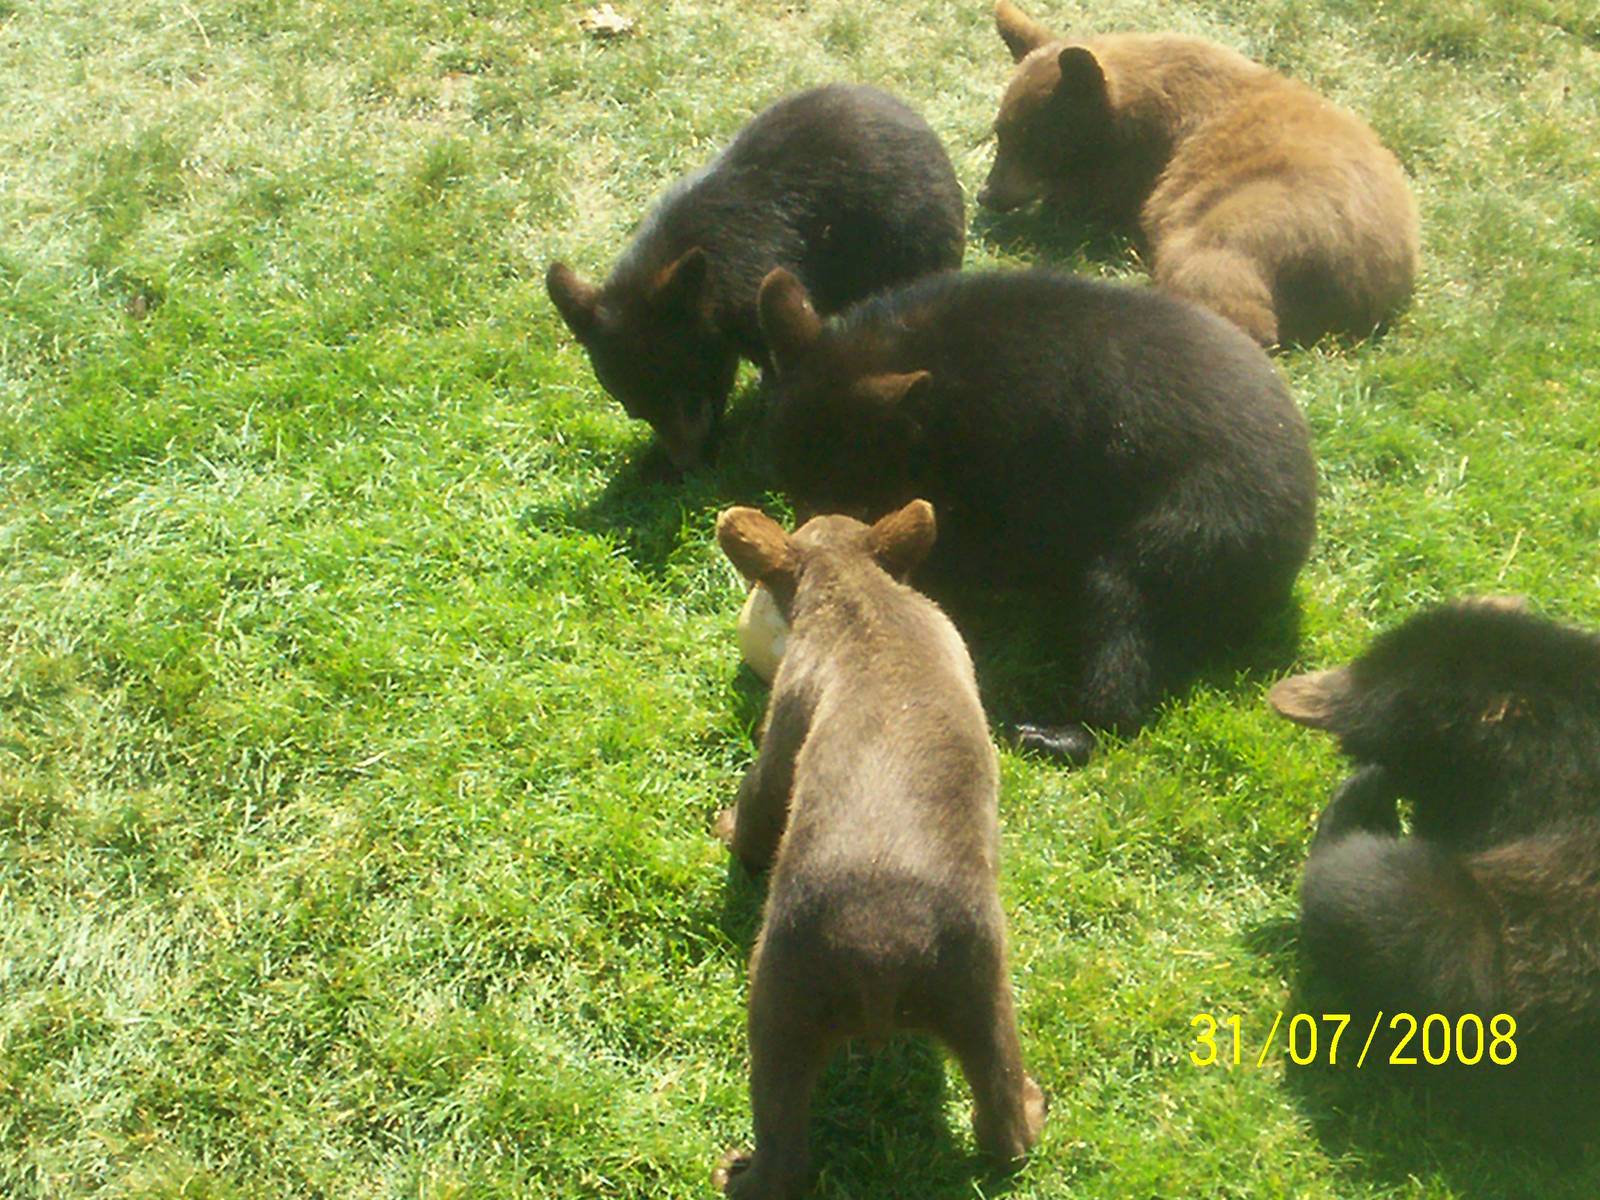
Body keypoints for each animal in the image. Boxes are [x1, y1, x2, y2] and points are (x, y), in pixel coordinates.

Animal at [712, 500, 1045, 1199]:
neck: (859, 589)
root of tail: (883, 949)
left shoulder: (787, 712)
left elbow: (761, 795)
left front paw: (730, 830)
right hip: (979, 993)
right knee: (1002, 1120)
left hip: (779, 995)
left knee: (785, 1148)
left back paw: (741, 1172)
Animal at [756, 265, 1317, 762]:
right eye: (790, 485)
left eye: (843, 494)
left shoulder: (1017, 451)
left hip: (1206, 520)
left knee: (1127, 604)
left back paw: (1065, 730)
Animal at [981, 1, 1420, 348]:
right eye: (1001, 131)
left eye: (1030, 140)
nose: (988, 194)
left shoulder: (1134, 166)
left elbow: (1090, 202)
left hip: (1251, 221)